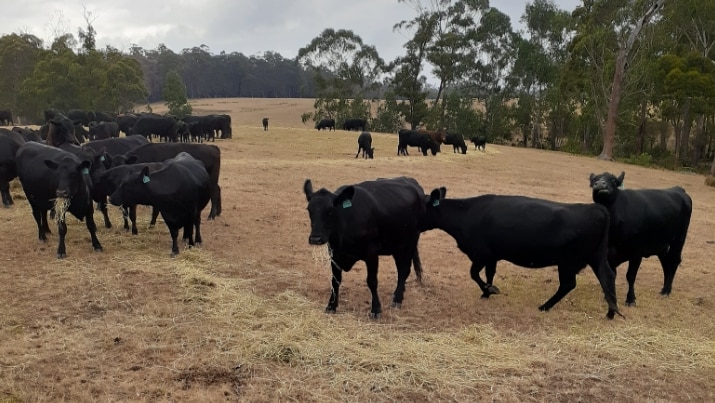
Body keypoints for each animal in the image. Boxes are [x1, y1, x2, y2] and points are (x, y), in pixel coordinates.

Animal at [302, 177, 426, 318]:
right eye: (309, 210)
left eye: (330, 211)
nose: (315, 239)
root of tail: (410, 180)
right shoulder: (335, 254)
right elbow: (335, 281)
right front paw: (331, 306)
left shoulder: (371, 254)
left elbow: (372, 281)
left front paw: (376, 309)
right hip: (397, 245)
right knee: (401, 270)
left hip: (411, 241)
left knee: (404, 269)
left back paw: (397, 299)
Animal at [422, 188, 624, 320]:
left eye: (420, 206)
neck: (467, 213)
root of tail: (596, 208)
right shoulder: (492, 256)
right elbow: (489, 274)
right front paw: (487, 293)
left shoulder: (481, 254)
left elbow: (474, 274)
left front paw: (489, 290)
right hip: (596, 257)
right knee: (607, 277)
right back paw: (610, 312)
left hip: (568, 262)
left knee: (568, 284)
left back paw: (544, 306)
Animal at [588, 170, 692, 306]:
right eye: (594, 180)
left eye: (613, 180)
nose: (600, 184)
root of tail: (678, 189)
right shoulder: (609, 253)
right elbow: (612, 274)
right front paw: (609, 297)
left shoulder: (636, 252)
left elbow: (630, 276)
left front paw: (631, 299)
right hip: (663, 245)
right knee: (666, 262)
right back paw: (664, 289)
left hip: (678, 239)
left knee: (674, 261)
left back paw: (666, 290)